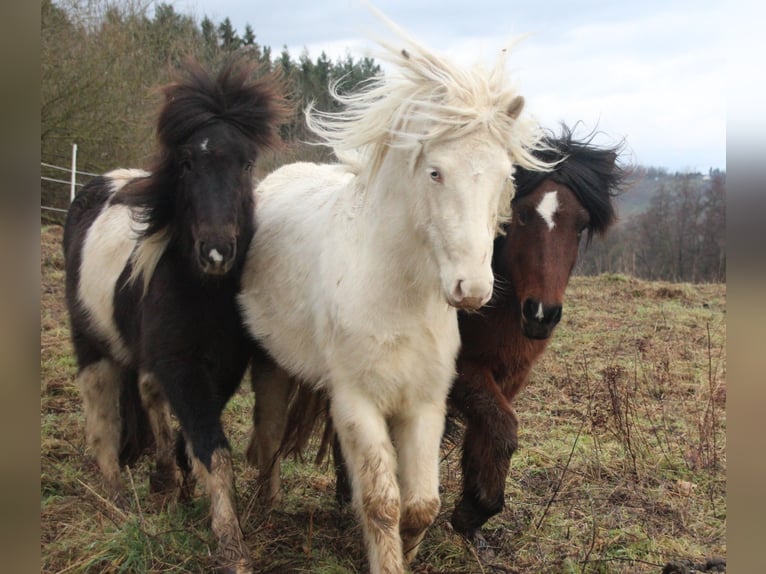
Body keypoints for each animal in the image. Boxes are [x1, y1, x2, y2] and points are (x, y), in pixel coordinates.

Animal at [62, 57, 288, 574]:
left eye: (246, 163)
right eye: (186, 163)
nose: (217, 251)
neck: (204, 292)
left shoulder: (221, 368)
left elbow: (195, 439)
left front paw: (182, 488)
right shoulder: (182, 365)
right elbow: (213, 450)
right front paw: (232, 547)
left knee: (146, 393)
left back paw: (164, 480)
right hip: (91, 345)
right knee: (103, 420)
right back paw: (116, 499)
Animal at [236, 15, 551, 574]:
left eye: (504, 177)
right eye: (436, 172)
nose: (472, 289)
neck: (397, 297)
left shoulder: (423, 403)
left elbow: (421, 504)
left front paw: (412, 546)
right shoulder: (358, 402)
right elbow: (382, 502)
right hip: (270, 364)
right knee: (269, 438)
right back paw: (264, 509)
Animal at [247, 125, 625, 555]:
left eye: (580, 225)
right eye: (523, 214)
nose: (541, 314)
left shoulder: (508, 376)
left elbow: (490, 435)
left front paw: (473, 519)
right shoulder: (458, 373)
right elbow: (501, 429)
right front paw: (472, 511)